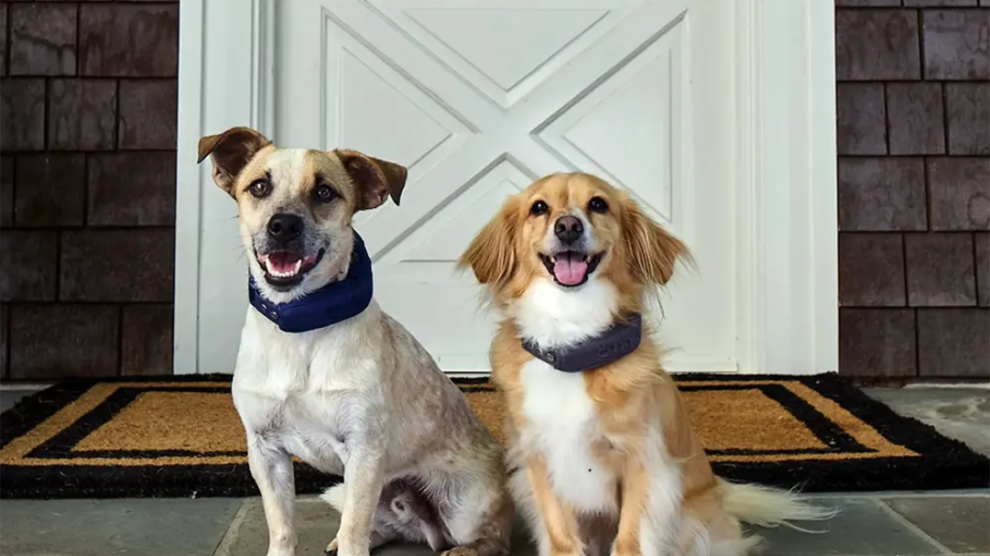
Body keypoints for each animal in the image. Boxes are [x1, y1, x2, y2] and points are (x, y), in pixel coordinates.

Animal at [199, 128, 516, 556]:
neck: (301, 329)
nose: (283, 225)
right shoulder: (266, 451)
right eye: (259, 186)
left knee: (492, 538)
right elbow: (283, 529)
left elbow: (354, 532)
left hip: (463, 505)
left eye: (325, 193)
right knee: (381, 529)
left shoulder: (363, 449)